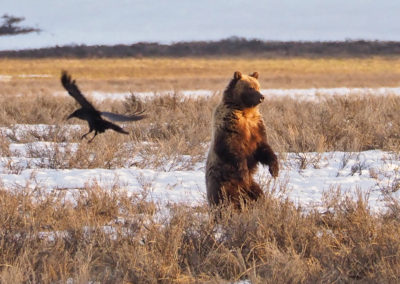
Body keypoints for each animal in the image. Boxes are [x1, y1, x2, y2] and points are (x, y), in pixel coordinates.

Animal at [206, 71, 278, 209]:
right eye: (250, 88)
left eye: (258, 87)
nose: (262, 97)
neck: (245, 112)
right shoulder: (229, 126)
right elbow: (231, 149)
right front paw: (243, 172)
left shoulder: (256, 128)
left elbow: (264, 148)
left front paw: (275, 170)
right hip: (221, 182)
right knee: (222, 199)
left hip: (251, 186)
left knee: (258, 195)